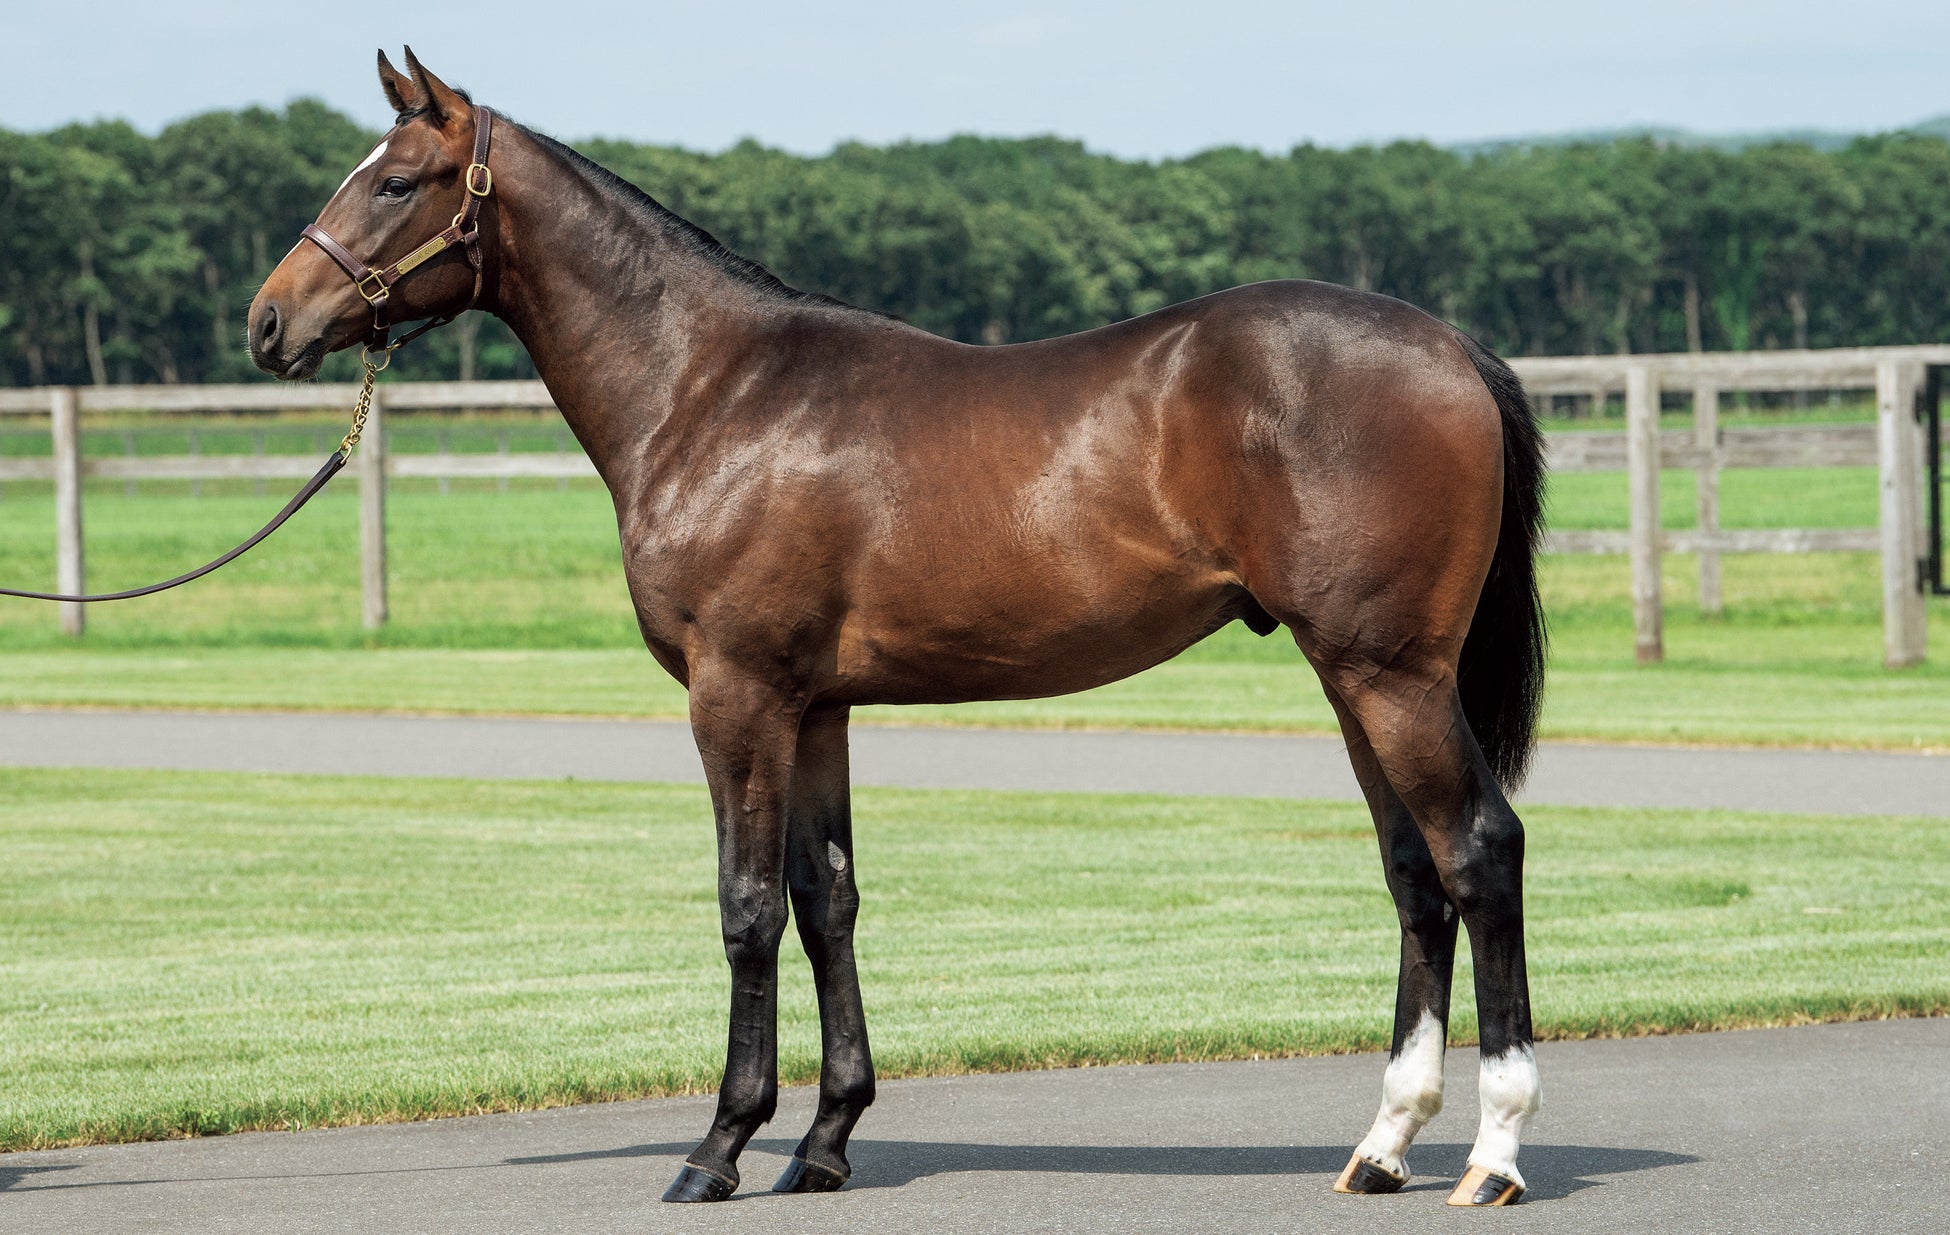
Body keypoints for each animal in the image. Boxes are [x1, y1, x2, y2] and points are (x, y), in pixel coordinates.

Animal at [247, 50, 1552, 1217]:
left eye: (397, 181)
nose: (268, 322)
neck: (712, 390)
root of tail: (1452, 347)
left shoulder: (736, 696)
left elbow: (747, 907)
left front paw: (720, 1146)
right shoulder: (815, 706)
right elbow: (827, 899)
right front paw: (824, 1140)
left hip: (1392, 676)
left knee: (1480, 851)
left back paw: (1493, 1151)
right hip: (1353, 678)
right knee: (1415, 873)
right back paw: (1383, 1143)